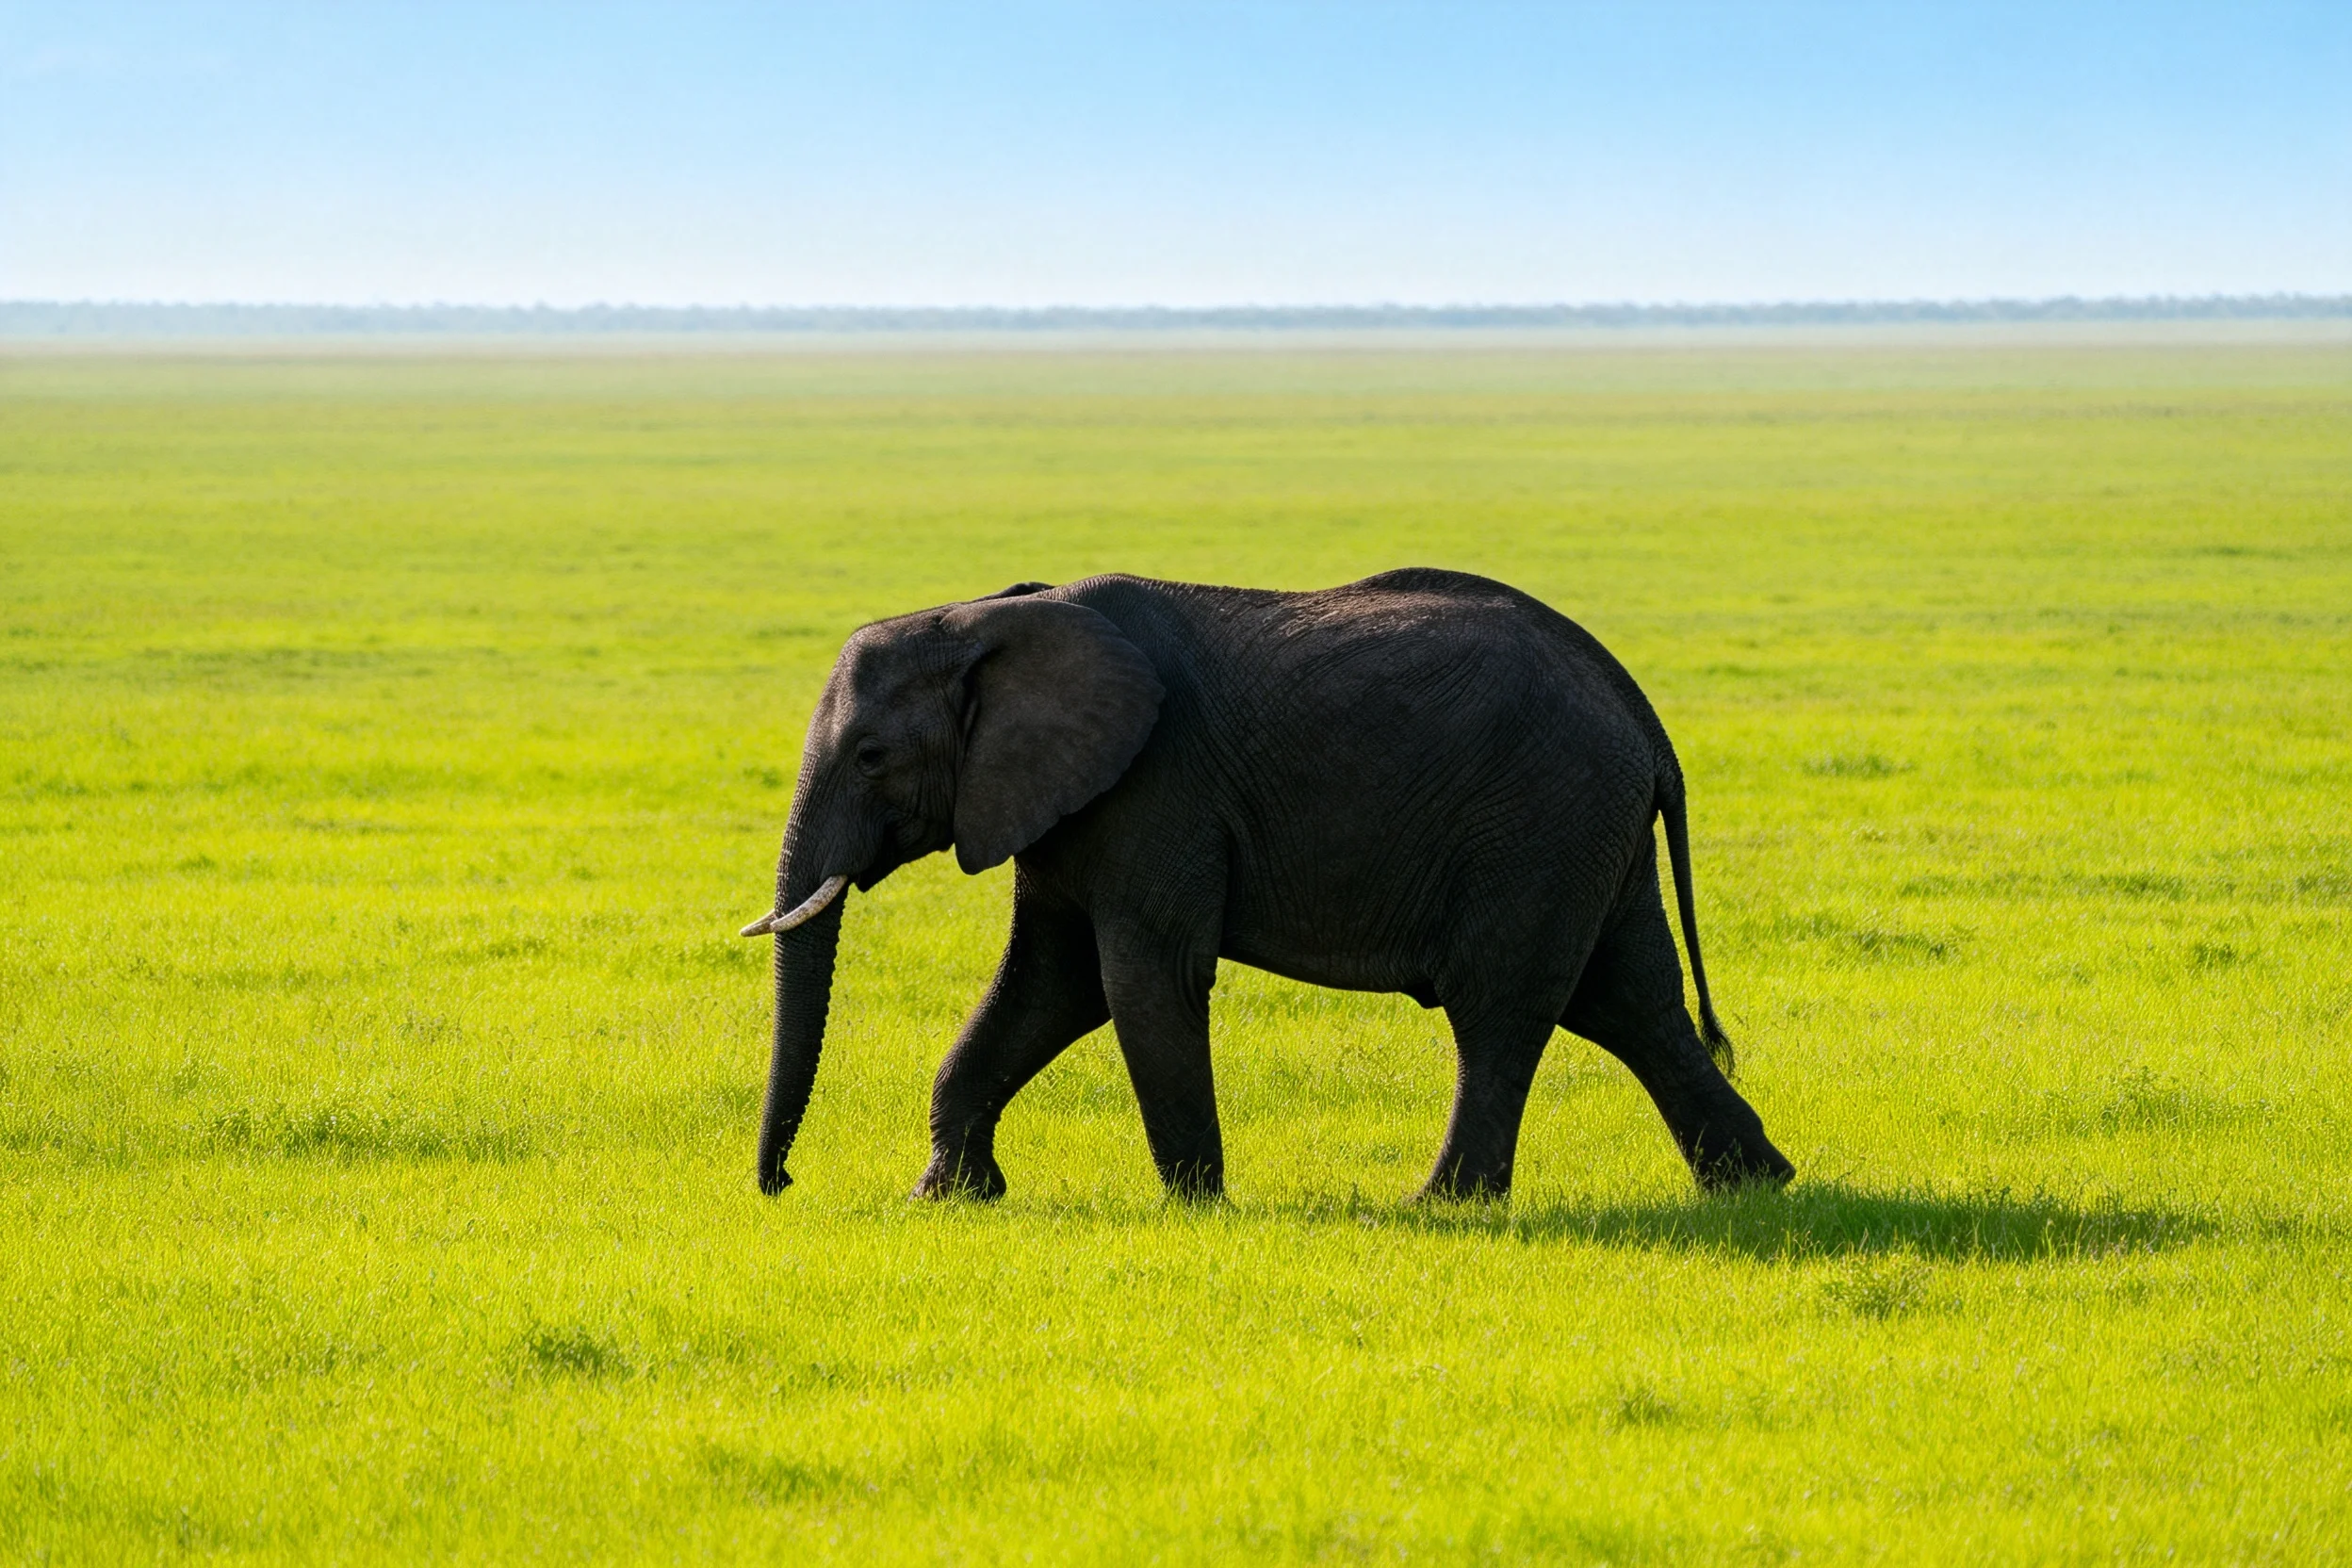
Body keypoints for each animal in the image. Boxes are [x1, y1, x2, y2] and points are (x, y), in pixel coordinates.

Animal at [740, 568, 1794, 1202]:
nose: (783, 1184)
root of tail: (1642, 716)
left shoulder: (1155, 788)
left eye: (872, 756)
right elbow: (1048, 985)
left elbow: (1139, 979)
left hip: (1539, 823)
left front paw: (1196, 1207)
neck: (985, 615)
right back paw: (1755, 1185)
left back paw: (1438, 1208)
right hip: (1588, 832)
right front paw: (949, 1198)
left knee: (1502, 1007)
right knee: (1631, 1000)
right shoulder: (1061, 801)